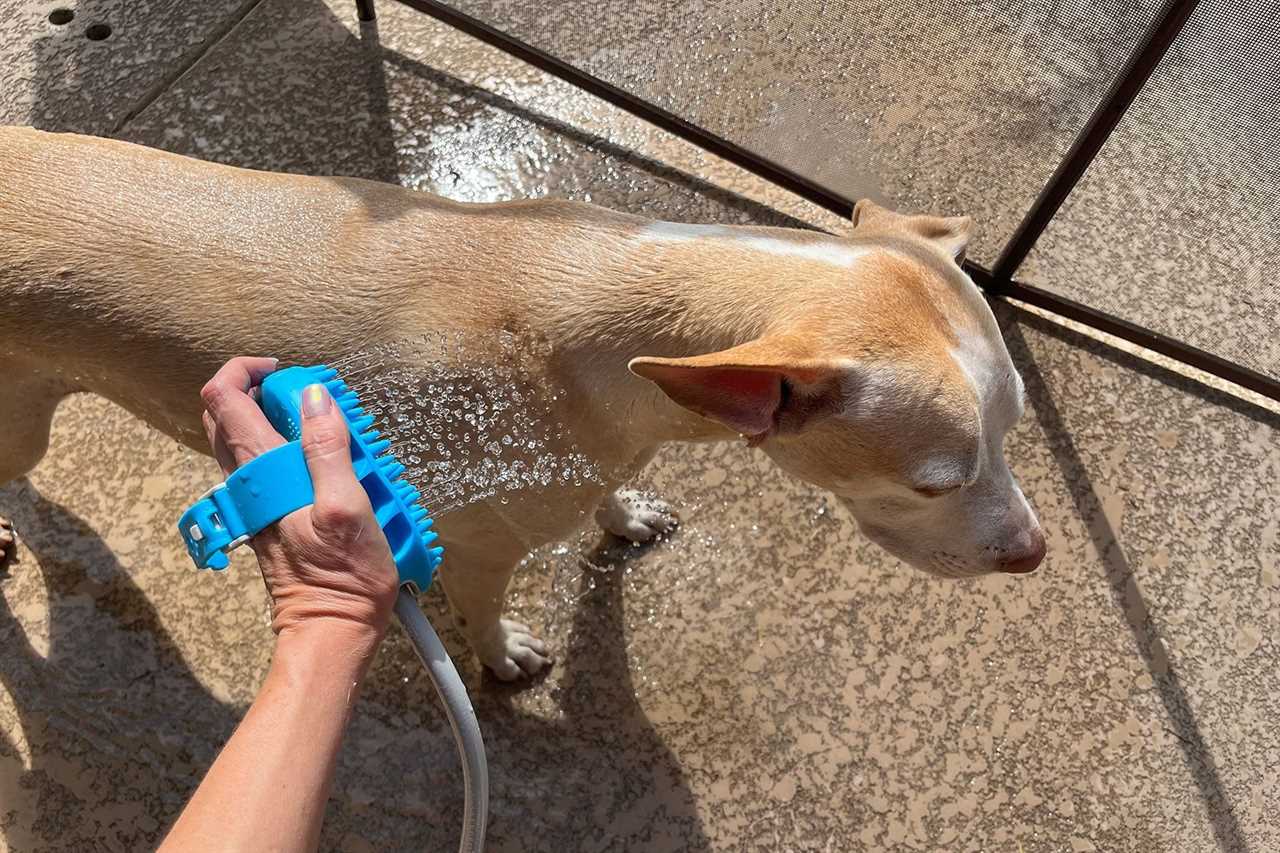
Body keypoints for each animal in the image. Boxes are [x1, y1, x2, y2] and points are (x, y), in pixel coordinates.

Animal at [0, 126, 1039, 676]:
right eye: (937, 481)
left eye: (1013, 430)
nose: (1034, 555)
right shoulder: (477, 544)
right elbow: (482, 603)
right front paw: (502, 658)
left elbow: (614, 489)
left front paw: (625, 514)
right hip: (23, 421)